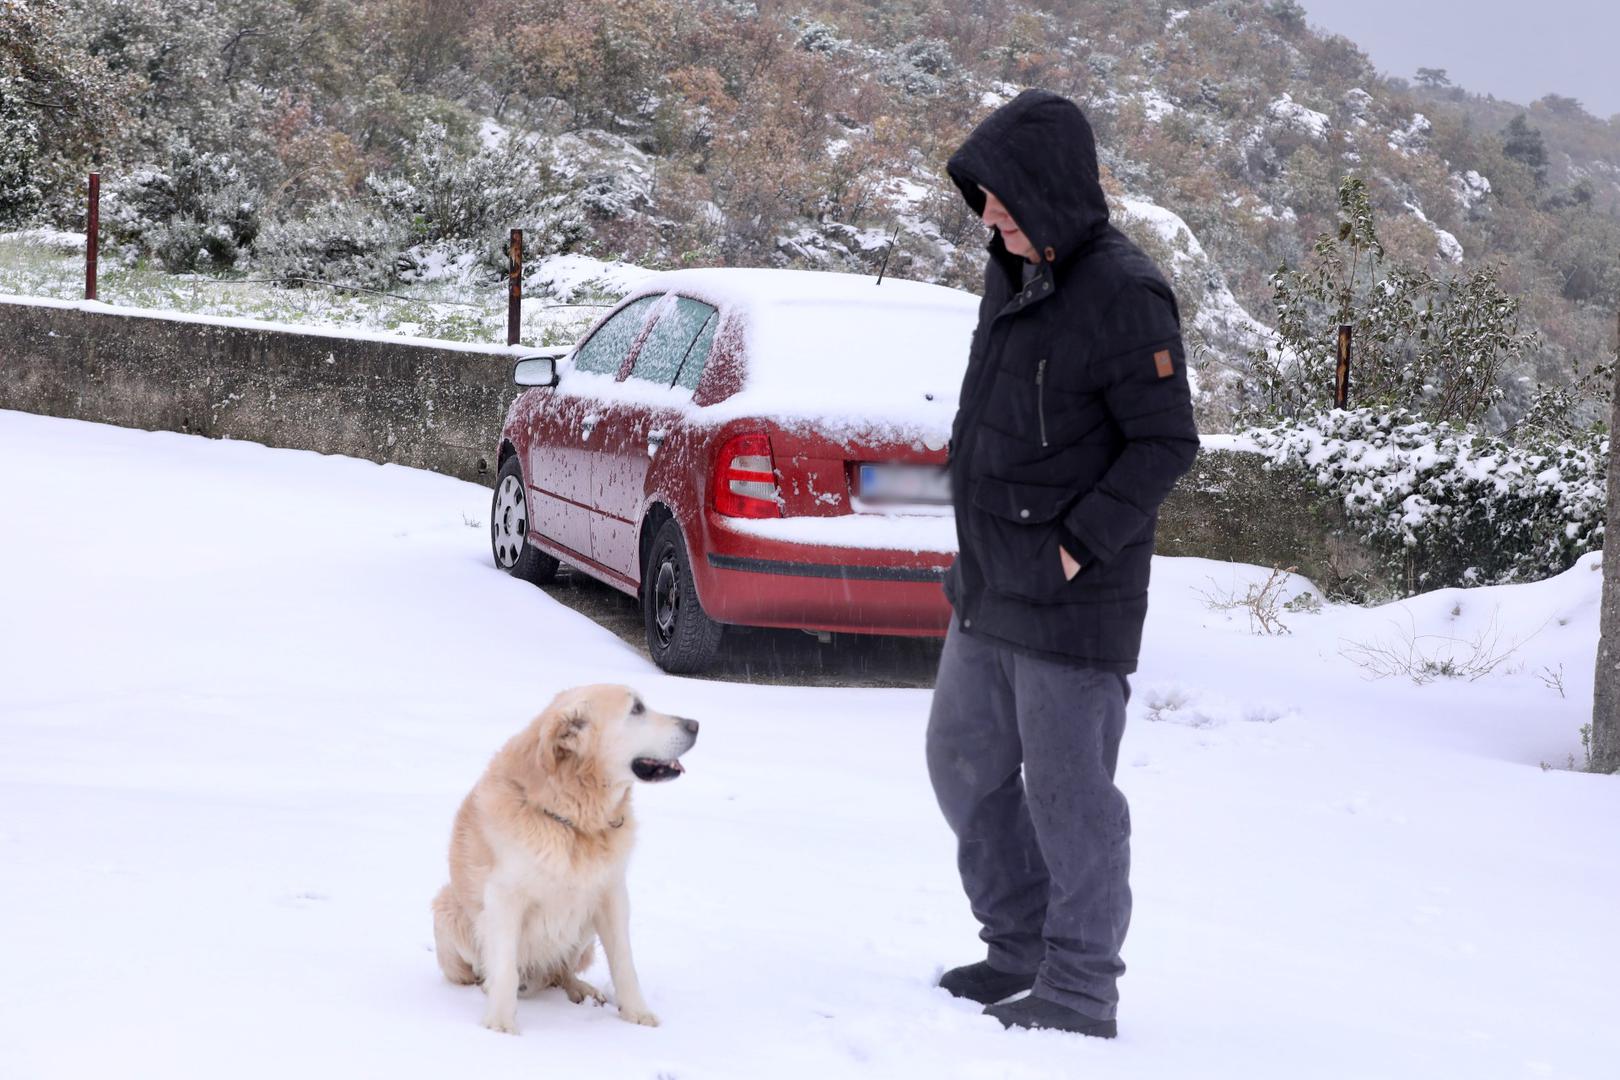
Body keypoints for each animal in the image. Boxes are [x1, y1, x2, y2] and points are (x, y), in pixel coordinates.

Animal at [434, 689, 699, 1036]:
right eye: (637, 709)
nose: (695, 725)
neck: (575, 823)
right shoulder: (503, 898)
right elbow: (504, 967)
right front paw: (501, 1024)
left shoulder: (612, 896)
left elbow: (624, 962)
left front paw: (637, 1013)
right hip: (448, 910)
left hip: (583, 929)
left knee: (560, 973)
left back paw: (581, 989)